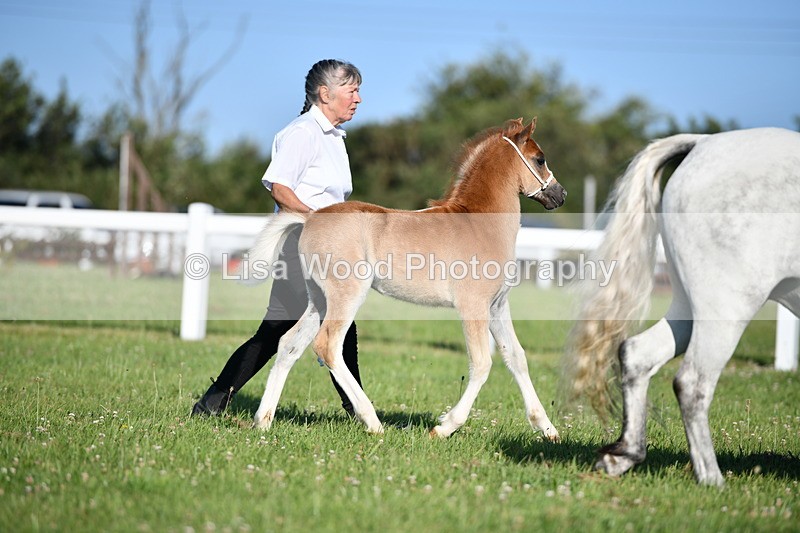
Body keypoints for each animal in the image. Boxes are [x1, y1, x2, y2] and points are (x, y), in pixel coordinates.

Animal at [248, 117, 566, 440]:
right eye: (540, 159)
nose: (560, 194)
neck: (478, 224)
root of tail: (310, 218)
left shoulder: (497, 306)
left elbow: (516, 358)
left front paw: (548, 429)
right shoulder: (473, 307)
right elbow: (481, 364)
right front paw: (444, 426)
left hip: (319, 300)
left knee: (289, 344)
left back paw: (264, 419)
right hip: (346, 296)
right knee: (327, 346)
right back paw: (373, 422)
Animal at [564, 127, 800, 485]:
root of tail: (703, 142)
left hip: (688, 308)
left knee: (636, 354)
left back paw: (625, 455)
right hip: (727, 308)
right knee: (692, 383)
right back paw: (712, 479)